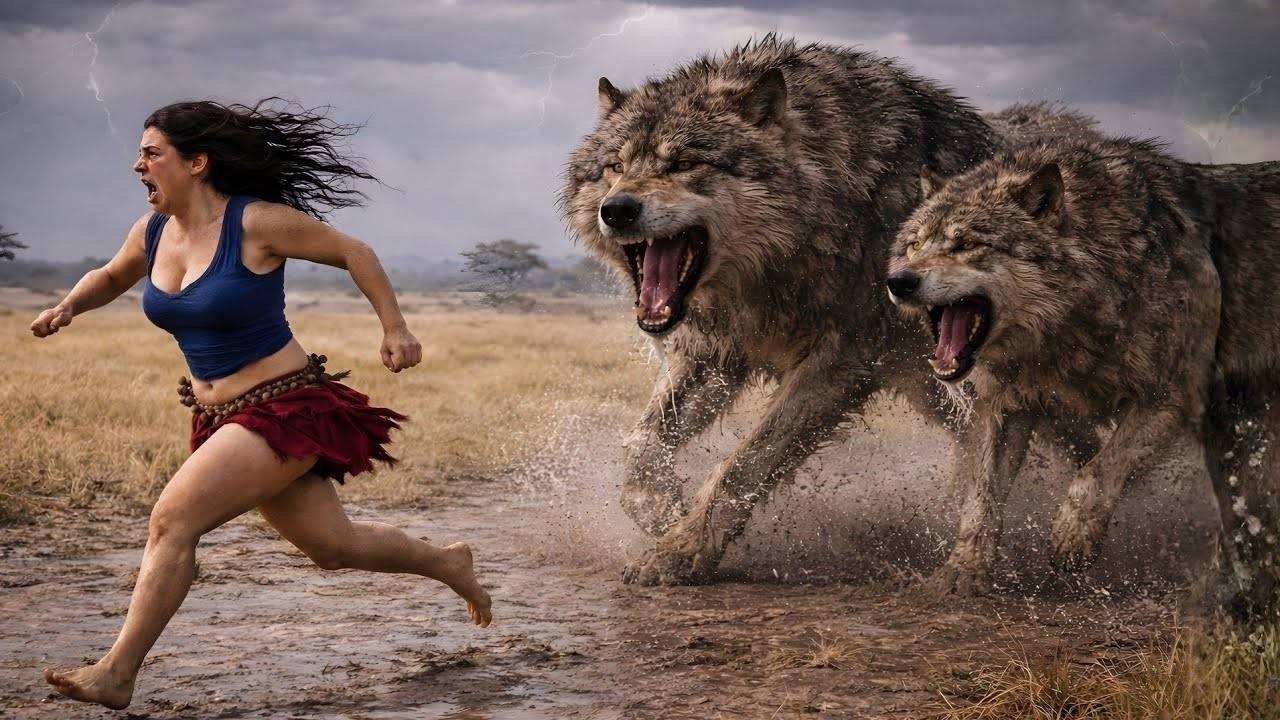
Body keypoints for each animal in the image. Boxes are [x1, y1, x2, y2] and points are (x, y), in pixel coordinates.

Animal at [558, 34, 1098, 587]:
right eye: (615, 167)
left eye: (684, 163)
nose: (617, 209)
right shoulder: (715, 353)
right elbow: (640, 447)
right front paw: (665, 514)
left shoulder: (837, 362)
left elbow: (743, 465)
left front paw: (679, 551)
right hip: (943, 391)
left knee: (1085, 447)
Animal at [886, 136, 1222, 593]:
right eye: (915, 245)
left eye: (967, 244)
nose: (899, 281)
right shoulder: (1006, 406)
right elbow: (981, 494)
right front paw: (964, 569)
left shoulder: (1171, 397)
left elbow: (1097, 470)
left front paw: (1073, 535)